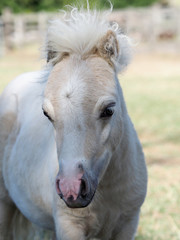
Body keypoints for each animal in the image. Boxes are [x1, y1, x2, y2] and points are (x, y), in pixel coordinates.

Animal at [0, 5, 148, 240]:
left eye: (109, 110)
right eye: (46, 114)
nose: (72, 189)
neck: (106, 190)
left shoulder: (128, 223)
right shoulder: (69, 225)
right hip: (4, 205)